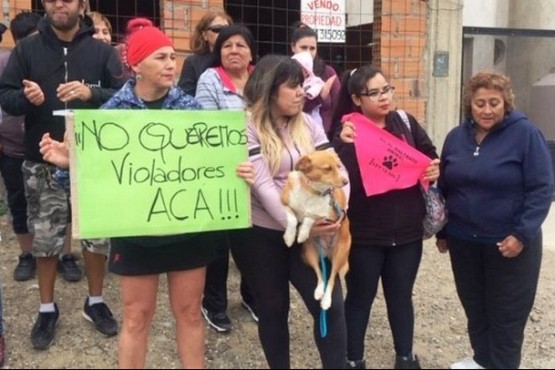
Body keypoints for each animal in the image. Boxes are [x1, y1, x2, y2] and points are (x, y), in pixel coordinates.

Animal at [282, 150, 352, 310]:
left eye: (338, 166)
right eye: (328, 169)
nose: (346, 181)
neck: (312, 190)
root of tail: (326, 252)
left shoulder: (323, 215)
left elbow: (309, 217)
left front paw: (302, 233)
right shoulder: (284, 203)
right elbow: (292, 218)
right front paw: (289, 237)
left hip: (340, 255)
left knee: (332, 277)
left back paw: (326, 300)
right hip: (310, 254)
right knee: (320, 274)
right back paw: (319, 291)